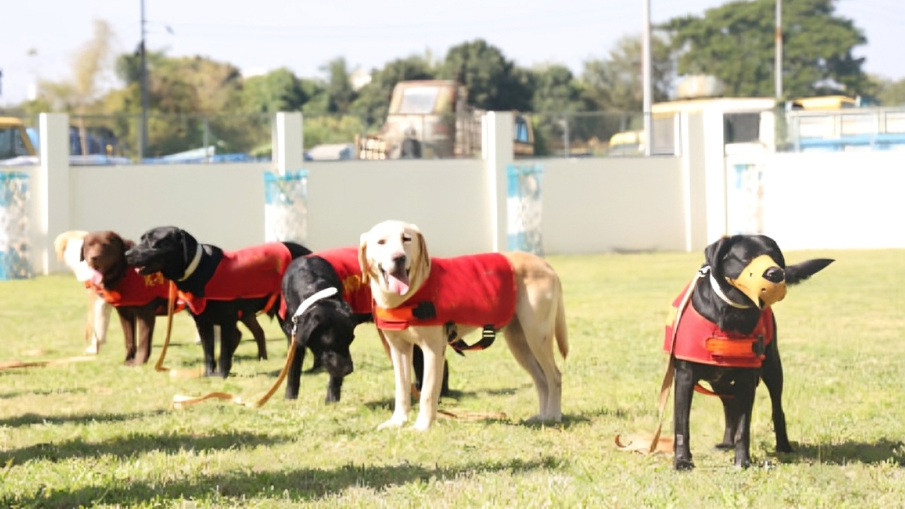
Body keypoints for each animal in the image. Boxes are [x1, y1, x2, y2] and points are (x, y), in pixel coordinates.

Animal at [124, 226, 310, 378]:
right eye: (142, 238)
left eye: (153, 241)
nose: (126, 255)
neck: (199, 270)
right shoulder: (202, 322)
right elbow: (208, 351)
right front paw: (208, 374)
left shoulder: (227, 321)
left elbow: (224, 352)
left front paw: (221, 374)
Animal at [358, 218, 564, 428]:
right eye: (381, 242)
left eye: (406, 239)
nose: (399, 258)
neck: (407, 295)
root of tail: (546, 264)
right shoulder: (399, 349)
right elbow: (402, 390)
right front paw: (397, 422)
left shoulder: (433, 349)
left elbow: (427, 393)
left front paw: (422, 426)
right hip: (519, 342)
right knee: (541, 379)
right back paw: (543, 417)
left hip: (537, 336)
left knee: (554, 376)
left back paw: (554, 415)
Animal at [664, 234, 832, 468]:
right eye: (746, 258)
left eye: (775, 257)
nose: (775, 273)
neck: (732, 315)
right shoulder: (685, 378)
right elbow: (682, 425)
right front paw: (682, 461)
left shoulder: (746, 378)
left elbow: (744, 427)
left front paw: (742, 460)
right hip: (720, 381)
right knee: (729, 407)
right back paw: (727, 442)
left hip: (772, 369)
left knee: (776, 409)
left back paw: (783, 446)